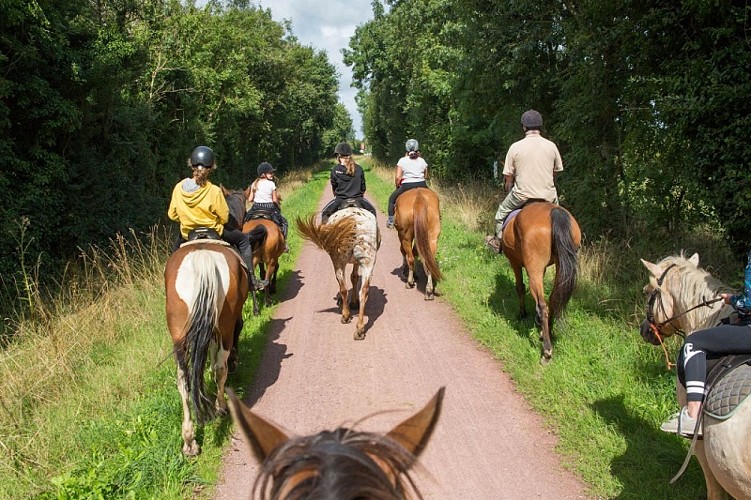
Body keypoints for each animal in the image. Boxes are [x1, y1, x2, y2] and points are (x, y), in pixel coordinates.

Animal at [164, 188, 250, 456]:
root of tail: (202, 261)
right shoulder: (229, 322)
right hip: (224, 323)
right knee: (221, 365)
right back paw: (221, 406)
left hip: (179, 334)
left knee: (183, 380)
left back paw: (189, 440)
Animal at [296, 207, 379, 340]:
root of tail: (354, 221)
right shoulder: (356, 262)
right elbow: (354, 277)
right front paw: (354, 302)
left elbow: (351, 280)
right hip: (368, 262)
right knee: (364, 290)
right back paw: (360, 329)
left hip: (338, 261)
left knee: (343, 288)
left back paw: (345, 316)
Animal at [501, 201, 581, 363]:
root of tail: (554, 212)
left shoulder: (514, 262)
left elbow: (520, 287)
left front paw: (522, 314)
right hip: (560, 266)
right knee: (553, 300)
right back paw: (546, 333)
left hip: (534, 267)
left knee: (543, 305)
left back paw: (547, 351)